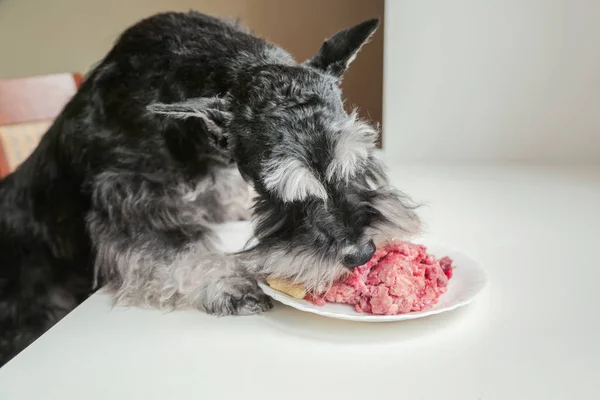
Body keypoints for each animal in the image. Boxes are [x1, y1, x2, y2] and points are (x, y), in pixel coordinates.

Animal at [0, 10, 422, 366]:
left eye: (358, 161)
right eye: (278, 190)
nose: (362, 253)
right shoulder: (130, 197)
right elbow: (175, 248)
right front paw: (228, 283)